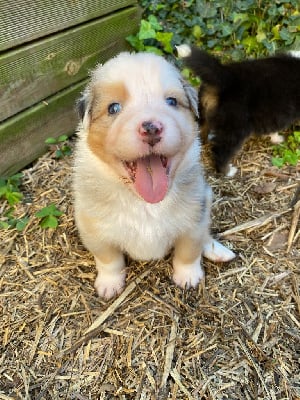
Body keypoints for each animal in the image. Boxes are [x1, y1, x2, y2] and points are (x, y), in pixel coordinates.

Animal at [72, 51, 234, 298]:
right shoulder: (94, 228)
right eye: (113, 108)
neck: (145, 203)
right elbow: (109, 260)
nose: (151, 128)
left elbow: (188, 251)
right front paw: (109, 285)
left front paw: (188, 277)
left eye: (172, 102)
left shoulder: (193, 219)